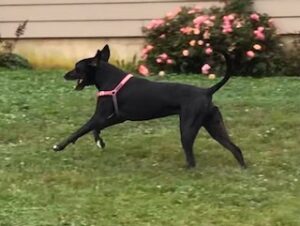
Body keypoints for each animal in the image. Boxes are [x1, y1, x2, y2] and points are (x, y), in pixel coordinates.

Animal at [53, 45, 246, 168]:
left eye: (77, 68)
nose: (64, 75)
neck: (109, 79)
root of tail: (206, 91)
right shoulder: (118, 117)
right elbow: (96, 128)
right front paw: (100, 141)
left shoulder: (100, 115)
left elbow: (79, 130)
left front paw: (59, 146)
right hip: (214, 126)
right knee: (235, 148)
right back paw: (243, 169)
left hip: (187, 128)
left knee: (192, 159)